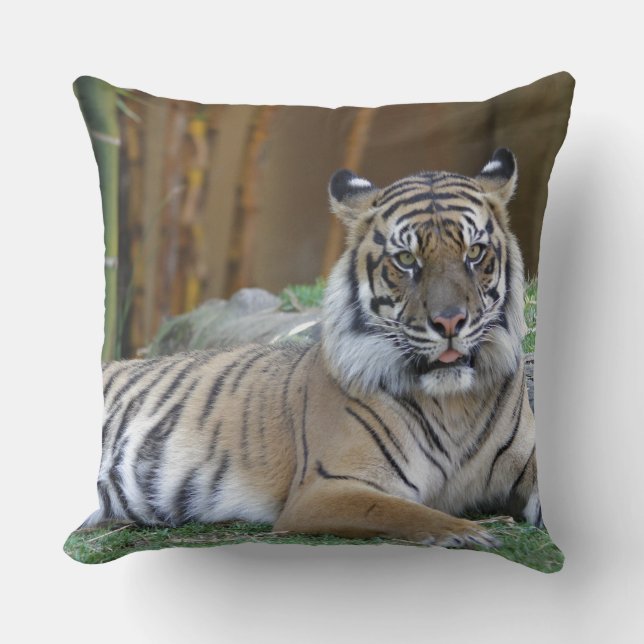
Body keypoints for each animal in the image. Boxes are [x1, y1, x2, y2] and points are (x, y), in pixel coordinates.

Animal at [86, 148, 542, 549]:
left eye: (474, 253)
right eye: (406, 260)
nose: (449, 322)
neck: (452, 402)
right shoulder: (327, 486)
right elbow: (405, 511)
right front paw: (470, 533)